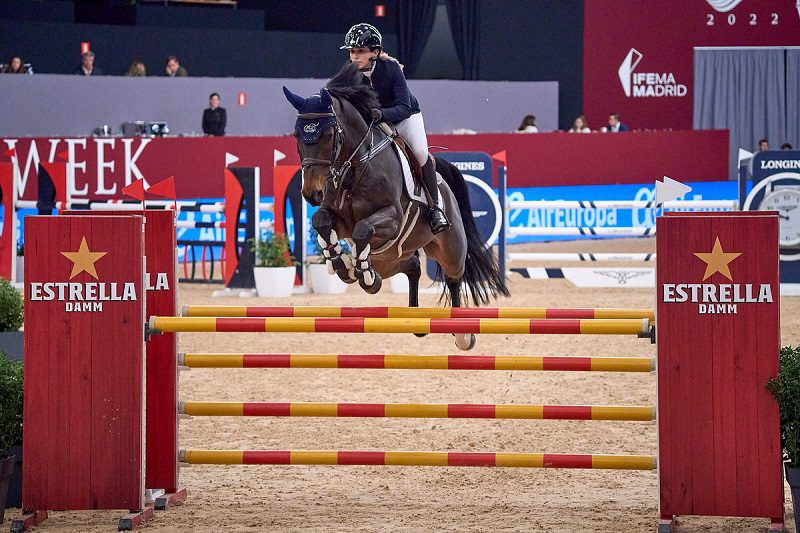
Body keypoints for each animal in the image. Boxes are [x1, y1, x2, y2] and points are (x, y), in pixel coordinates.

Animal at [283, 64, 508, 349]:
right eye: (297, 135)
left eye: (329, 134)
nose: (312, 194)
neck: (356, 164)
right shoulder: (338, 218)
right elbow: (321, 221)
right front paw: (341, 262)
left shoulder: (392, 218)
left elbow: (363, 229)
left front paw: (359, 270)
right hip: (389, 257)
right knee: (412, 265)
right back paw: (400, 306)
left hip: (449, 248)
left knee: (454, 278)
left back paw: (461, 334)